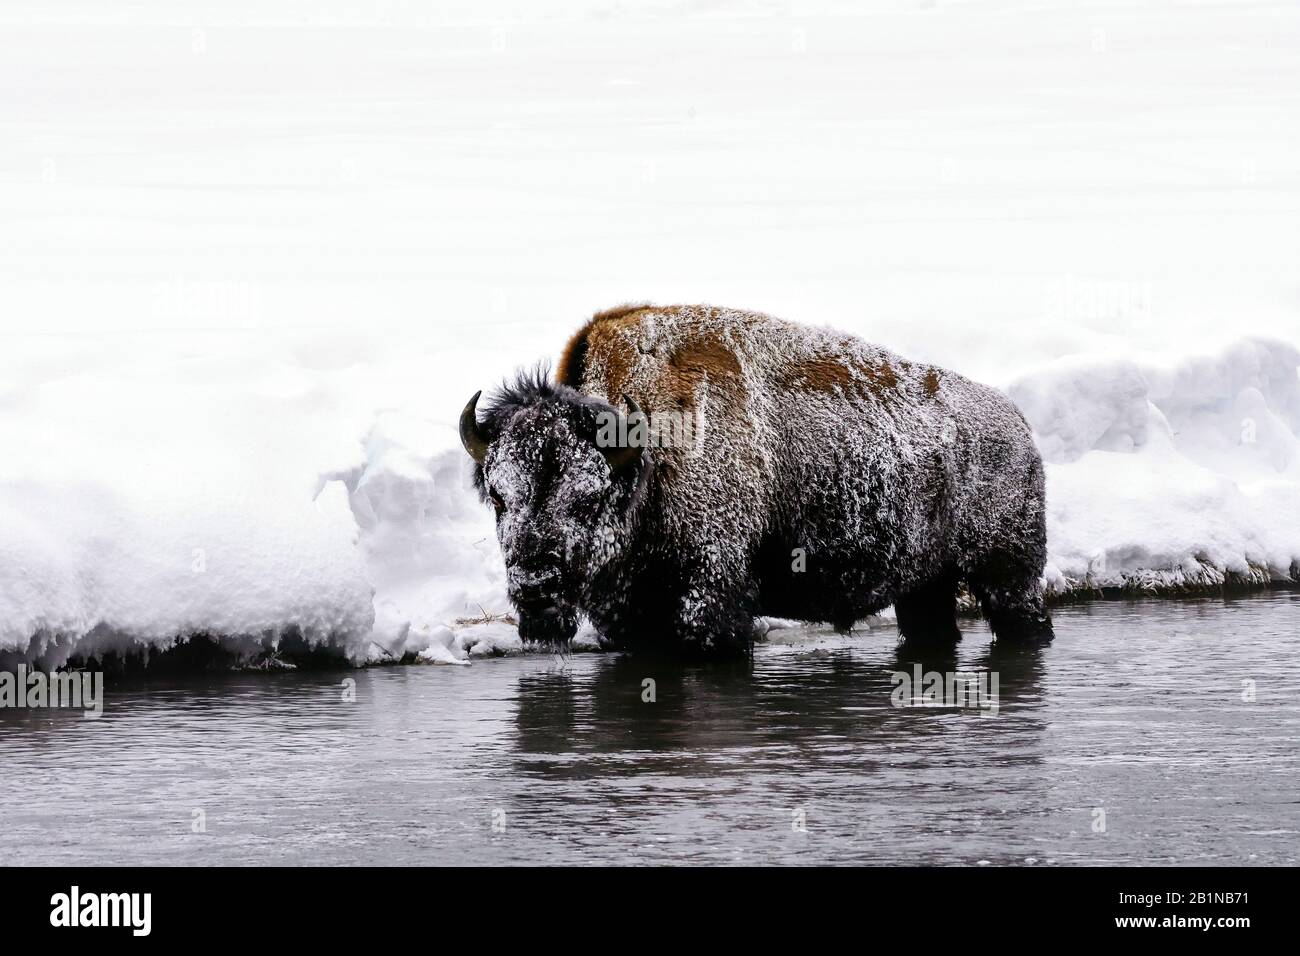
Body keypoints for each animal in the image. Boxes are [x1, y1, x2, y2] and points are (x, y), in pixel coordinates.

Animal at [462, 306, 1050, 658]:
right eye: (499, 498)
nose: (534, 585)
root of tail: (1018, 424)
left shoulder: (712, 603)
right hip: (926, 583)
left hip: (1009, 576)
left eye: (588, 497)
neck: (648, 453)